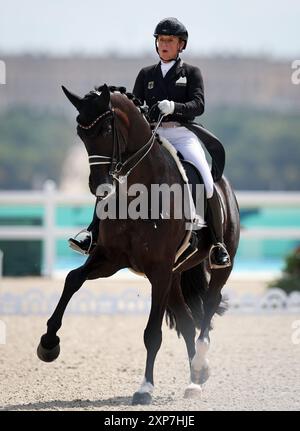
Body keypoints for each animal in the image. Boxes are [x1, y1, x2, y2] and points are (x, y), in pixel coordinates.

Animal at [37, 83, 239, 404]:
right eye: (80, 132)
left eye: (107, 128)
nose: (98, 186)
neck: (140, 192)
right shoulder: (110, 259)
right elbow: (72, 280)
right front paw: (48, 343)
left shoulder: (158, 270)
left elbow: (152, 334)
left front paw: (145, 388)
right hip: (174, 277)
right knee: (186, 320)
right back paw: (195, 380)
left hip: (216, 265)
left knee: (209, 306)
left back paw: (199, 364)